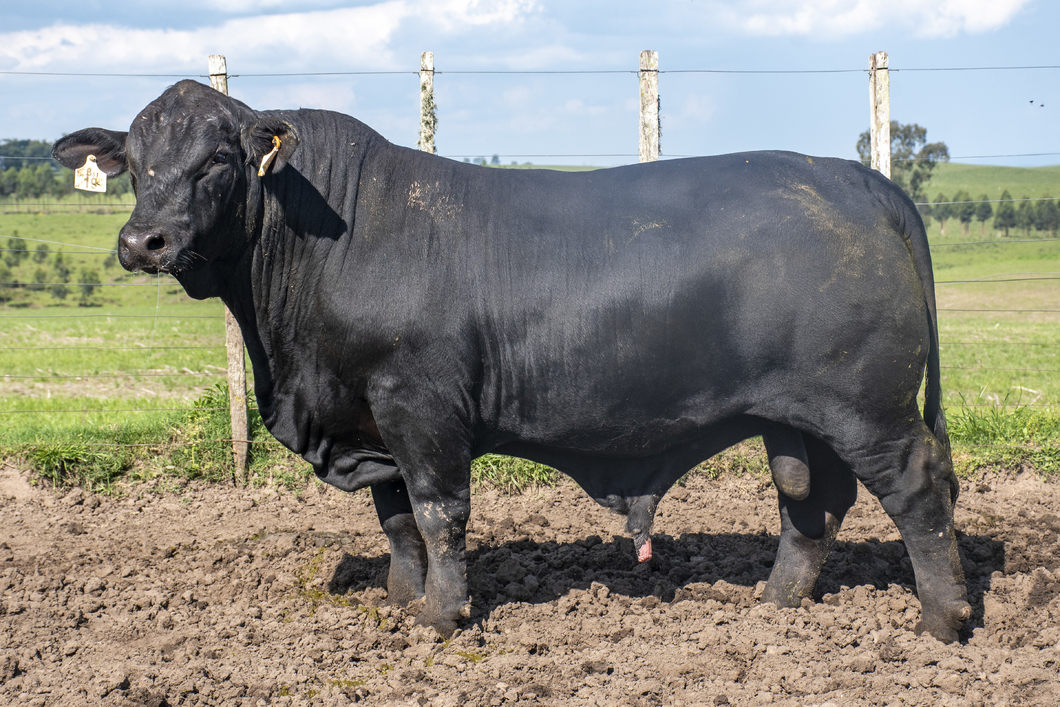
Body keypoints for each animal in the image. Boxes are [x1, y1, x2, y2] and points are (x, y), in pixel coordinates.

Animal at [55, 81, 970, 640]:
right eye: (136, 163)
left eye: (218, 158)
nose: (142, 241)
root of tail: (855, 178)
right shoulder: (370, 414)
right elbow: (395, 518)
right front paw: (402, 597)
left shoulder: (418, 402)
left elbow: (438, 512)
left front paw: (441, 616)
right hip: (801, 415)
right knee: (812, 499)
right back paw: (777, 600)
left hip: (869, 407)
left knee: (916, 490)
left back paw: (944, 618)